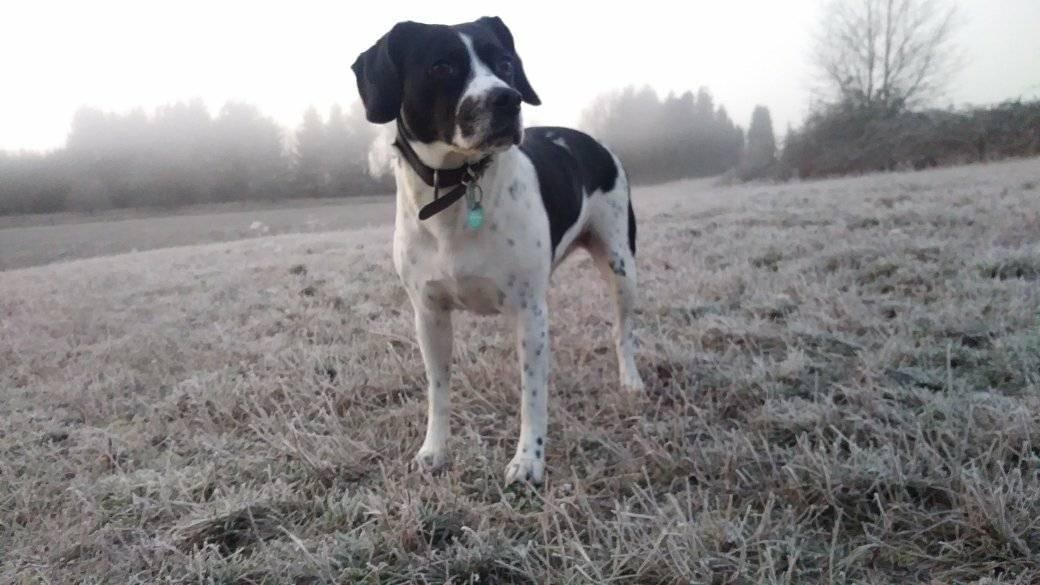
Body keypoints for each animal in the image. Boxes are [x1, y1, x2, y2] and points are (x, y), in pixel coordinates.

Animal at [352, 16, 644, 485]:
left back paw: (630, 380)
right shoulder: (428, 315)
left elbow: (533, 393)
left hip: (620, 264)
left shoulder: (530, 313)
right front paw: (434, 451)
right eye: (441, 67)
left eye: (505, 63)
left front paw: (528, 460)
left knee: (623, 329)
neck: (457, 188)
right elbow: (438, 389)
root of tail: (593, 141)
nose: (507, 99)